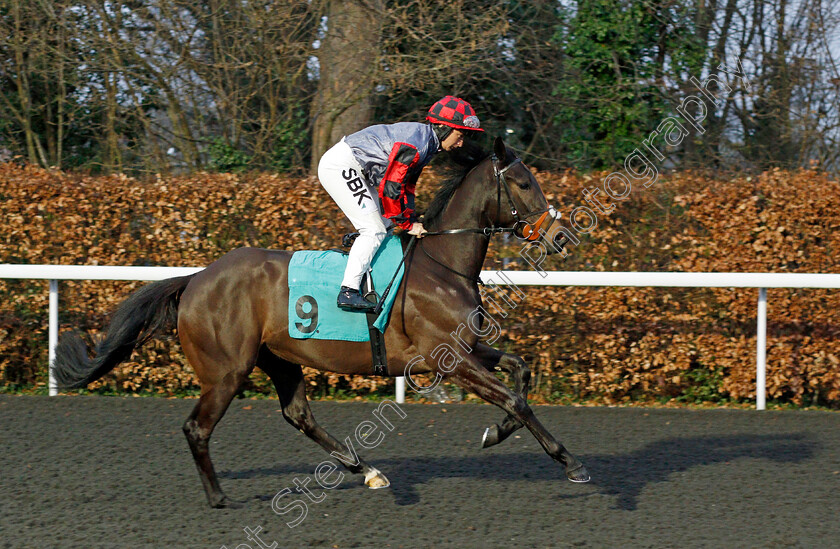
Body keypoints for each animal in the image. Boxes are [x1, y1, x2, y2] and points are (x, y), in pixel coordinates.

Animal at [54, 136, 592, 506]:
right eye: (523, 183)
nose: (560, 235)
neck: (442, 264)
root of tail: (197, 277)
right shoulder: (449, 359)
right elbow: (515, 399)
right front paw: (571, 463)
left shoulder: (467, 349)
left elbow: (520, 373)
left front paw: (495, 433)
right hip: (226, 371)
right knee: (197, 429)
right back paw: (219, 497)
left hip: (279, 357)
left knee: (298, 414)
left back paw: (365, 468)